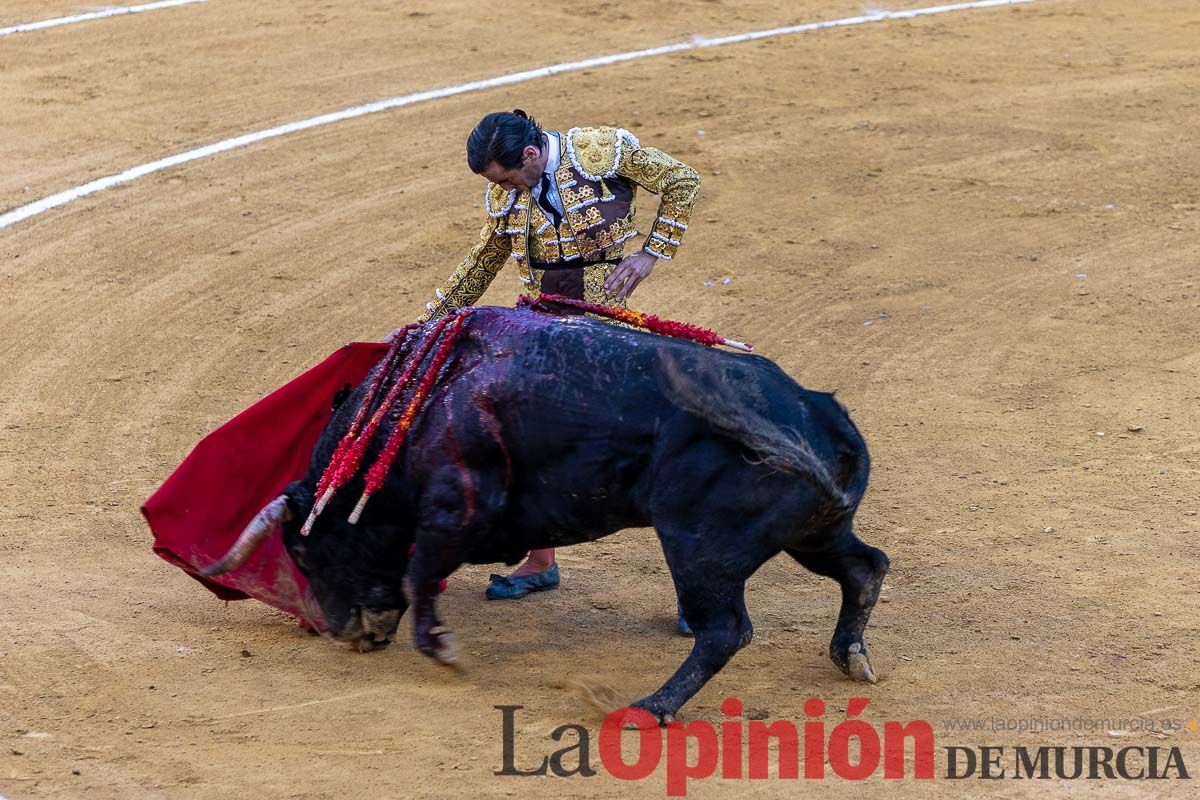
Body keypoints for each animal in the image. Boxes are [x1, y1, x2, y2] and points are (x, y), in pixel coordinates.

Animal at [201, 303, 888, 724]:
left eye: (306, 550)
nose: (346, 633)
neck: (420, 408)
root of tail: (817, 409)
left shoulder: (455, 504)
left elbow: (418, 574)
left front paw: (442, 650)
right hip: (815, 533)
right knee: (865, 567)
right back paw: (850, 656)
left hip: (699, 548)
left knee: (725, 630)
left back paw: (649, 708)